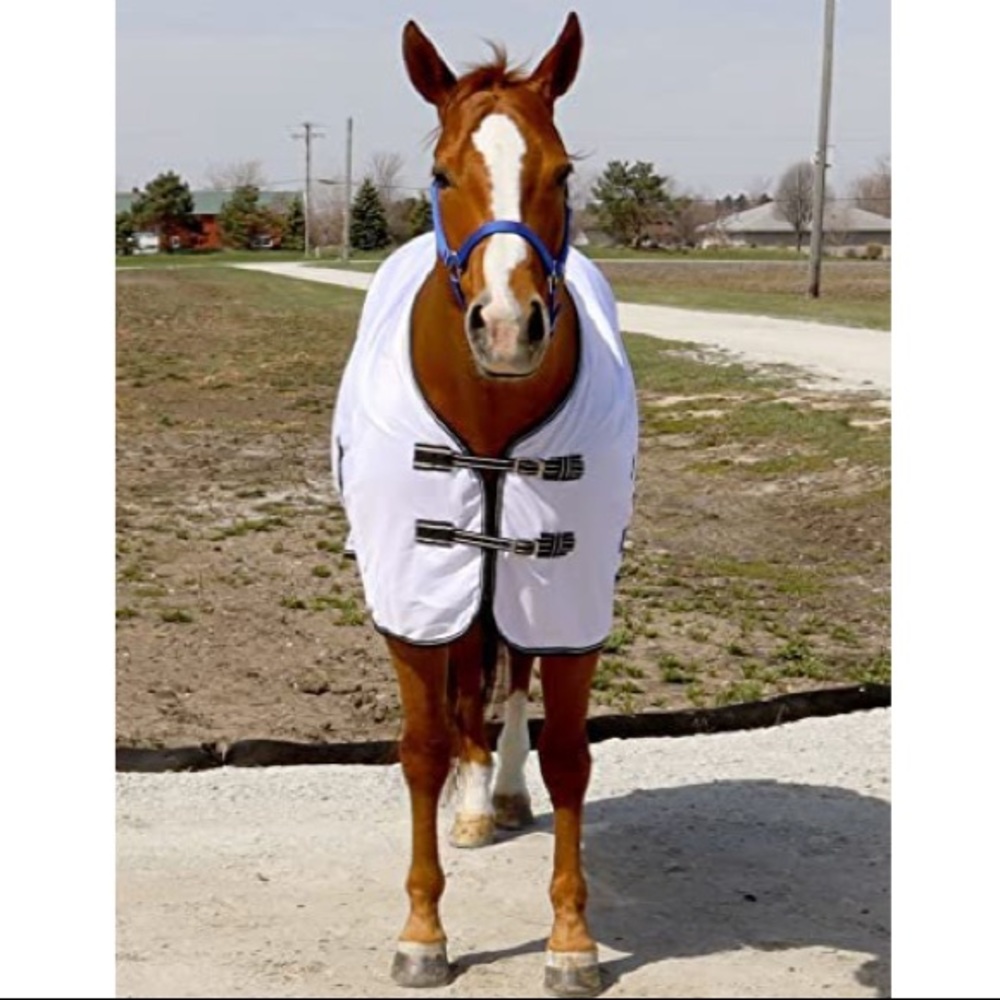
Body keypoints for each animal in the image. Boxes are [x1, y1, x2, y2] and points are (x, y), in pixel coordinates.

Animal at [331, 12, 638, 996]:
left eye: (564, 172)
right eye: (439, 173)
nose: (508, 327)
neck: (491, 424)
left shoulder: (571, 593)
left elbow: (570, 754)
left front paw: (571, 938)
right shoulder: (414, 595)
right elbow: (424, 749)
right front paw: (423, 930)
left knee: (511, 682)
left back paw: (500, 791)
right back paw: (472, 803)